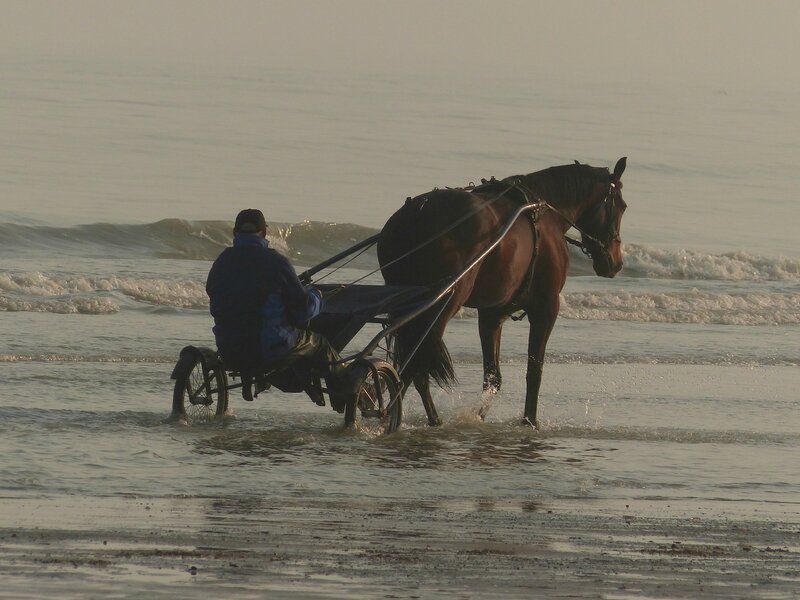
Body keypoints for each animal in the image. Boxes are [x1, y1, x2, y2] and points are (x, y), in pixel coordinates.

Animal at [378, 155, 628, 426]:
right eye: (622, 206)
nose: (616, 263)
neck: (543, 213)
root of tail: (419, 212)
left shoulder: (492, 314)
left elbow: (493, 377)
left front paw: (478, 416)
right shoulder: (546, 308)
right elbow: (534, 371)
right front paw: (529, 421)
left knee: (414, 365)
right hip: (442, 305)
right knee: (414, 364)